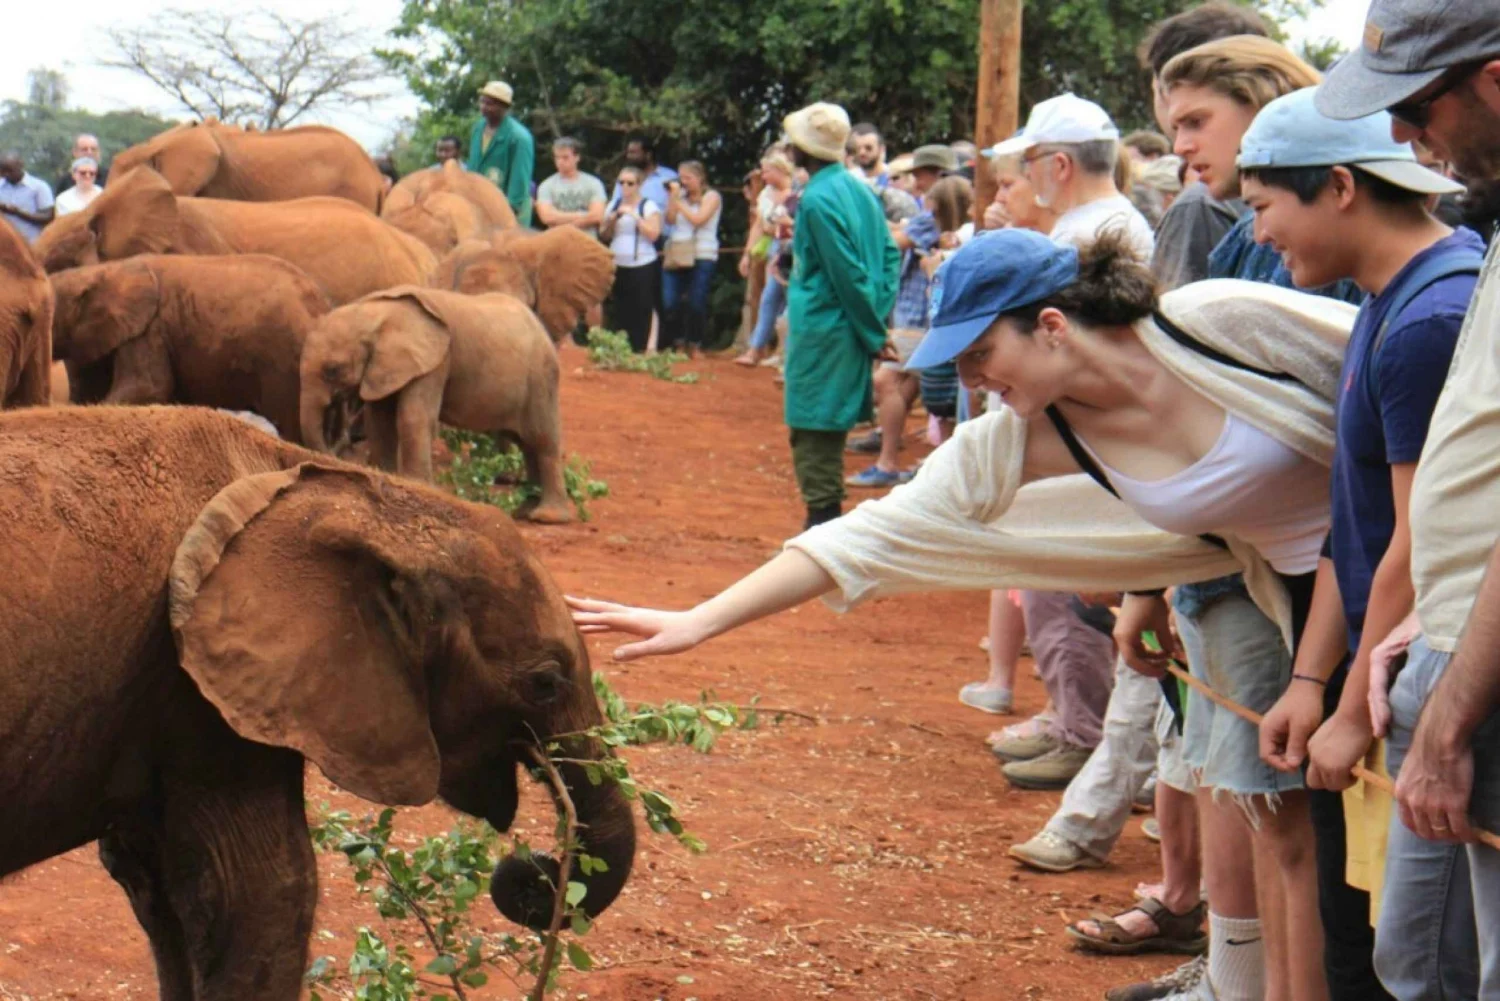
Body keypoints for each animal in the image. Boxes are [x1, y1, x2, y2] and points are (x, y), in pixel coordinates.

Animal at [299, 287, 574, 523]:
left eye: (332, 370)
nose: (333, 454)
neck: (376, 315)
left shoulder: (435, 361)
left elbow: (413, 417)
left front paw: (417, 486)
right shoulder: (383, 367)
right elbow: (379, 421)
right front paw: (382, 476)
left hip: (542, 379)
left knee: (542, 441)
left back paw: (547, 518)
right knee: (527, 445)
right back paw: (524, 512)